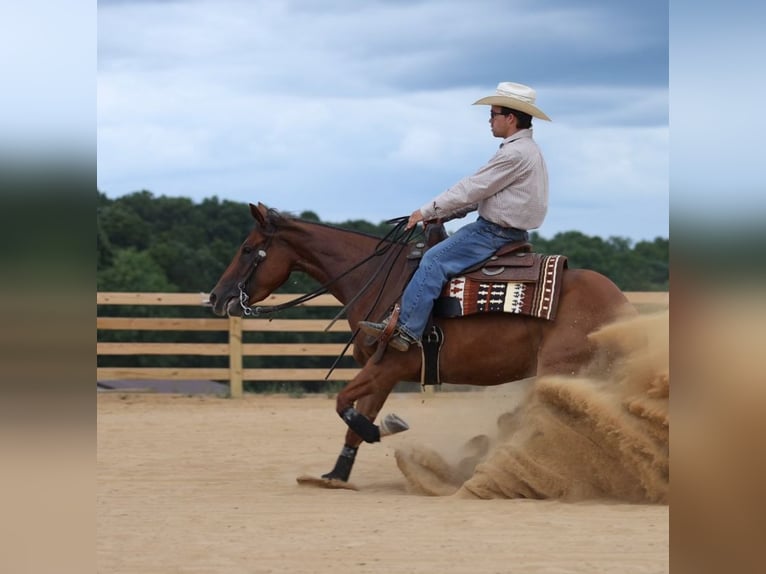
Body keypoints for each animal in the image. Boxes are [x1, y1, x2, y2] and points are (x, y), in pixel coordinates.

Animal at [208, 205, 636, 488]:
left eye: (247, 249)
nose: (216, 297)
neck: (382, 280)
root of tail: (620, 303)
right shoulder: (380, 371)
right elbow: (353, 419)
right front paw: (336, 474)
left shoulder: (389, 366)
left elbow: (344, 404)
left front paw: (383, 428)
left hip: (561, 369)